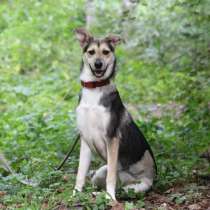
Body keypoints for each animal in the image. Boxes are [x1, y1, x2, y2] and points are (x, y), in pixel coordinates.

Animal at [73, 27, 157, 200]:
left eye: (106, 52)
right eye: (91, 52)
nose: (98, 64)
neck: (95, 88)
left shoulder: (112, 137)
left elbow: (111, 176)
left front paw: (110, 198)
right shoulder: (85, 139)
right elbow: (80, 173)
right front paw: (75, 194)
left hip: (139, 185)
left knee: (123, 186)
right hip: (99, 173)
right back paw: (98, 193)